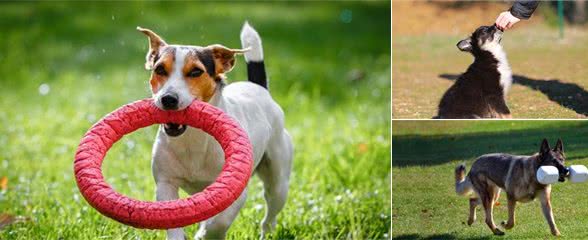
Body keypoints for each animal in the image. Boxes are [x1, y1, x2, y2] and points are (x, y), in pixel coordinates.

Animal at [137, 22, 294, 238]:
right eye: (159, 69)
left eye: (196, 72)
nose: (168, 99)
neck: (192, 138)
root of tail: (259, 88)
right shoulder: (165, 184)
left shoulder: (235, 192)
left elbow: (220, 222)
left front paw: (204, 234)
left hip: (278, 182)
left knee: (270, 214)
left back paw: (267, 232)